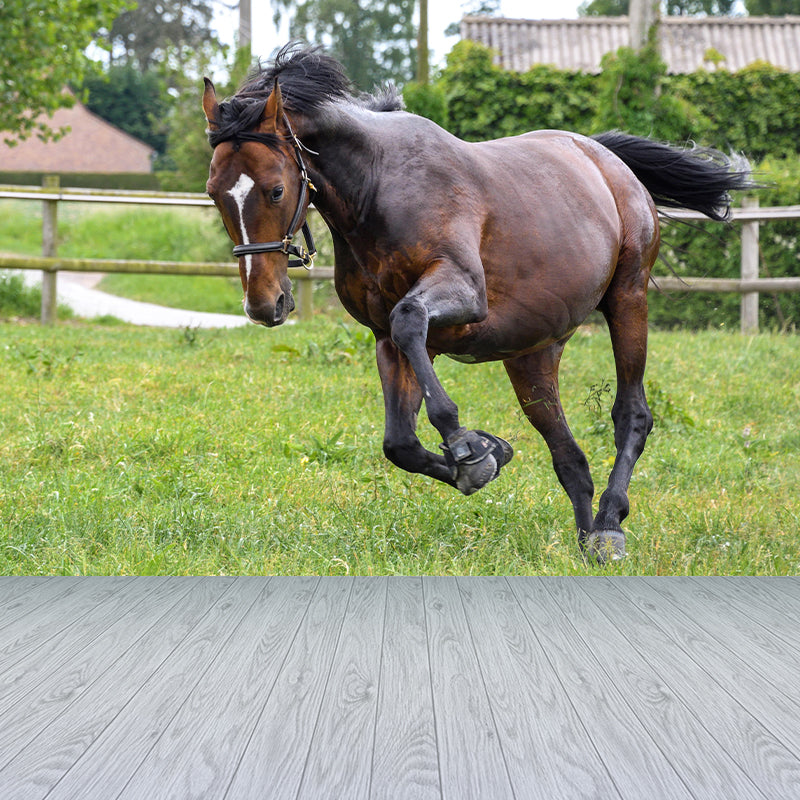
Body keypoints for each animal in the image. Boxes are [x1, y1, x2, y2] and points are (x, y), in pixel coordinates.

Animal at [202, 44, 752, 562]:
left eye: (276, 190)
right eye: (213, 193)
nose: (263, 305)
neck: (378, 188)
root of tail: (603, 155)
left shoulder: (462, 294)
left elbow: (411, 322)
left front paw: (468, 445)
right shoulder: (385, 339)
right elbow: (400, 443)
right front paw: (489, 452)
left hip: (627, 300)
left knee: (632, 415)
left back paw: (609, 527)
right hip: (533, 354)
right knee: (569, 457)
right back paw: (586, 538)